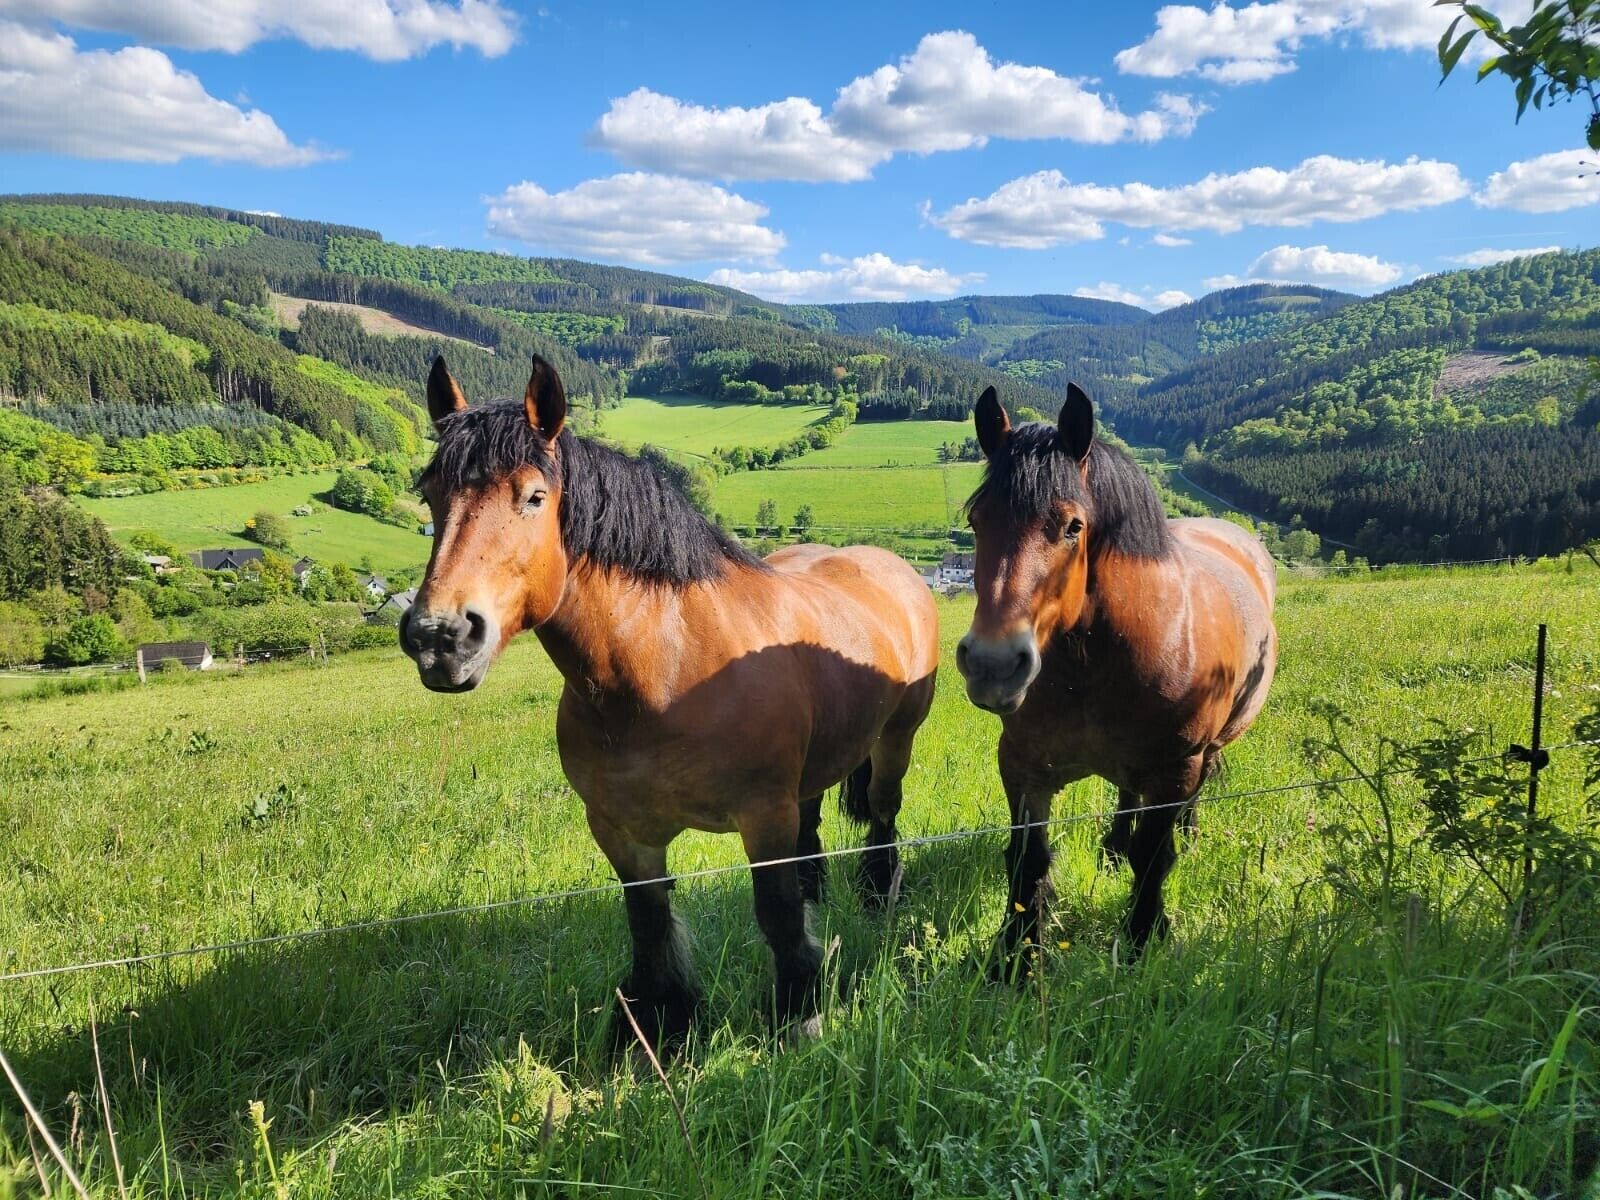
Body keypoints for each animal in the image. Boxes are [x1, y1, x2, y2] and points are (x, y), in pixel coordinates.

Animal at [400, 355, 940, 1046]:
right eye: (430, 494)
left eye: (534, 497)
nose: (439, 638)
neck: (667, 671)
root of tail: (894, 570)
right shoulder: (621, 831)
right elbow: (650, 924)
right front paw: (659, 1022)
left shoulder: (763, 817)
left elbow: (778, 915)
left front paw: (800, 1012)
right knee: (814, 816)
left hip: (896, 741)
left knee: (882, 811)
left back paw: (879, 892)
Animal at [954, 383, 1277, 972]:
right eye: (976, 521)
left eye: (1073, 526)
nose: (993, 665)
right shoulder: (1023, 767)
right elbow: (1028, 859)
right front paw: (1015, 959)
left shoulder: (1176, 768)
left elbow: (1153, 857)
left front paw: (1143, 938)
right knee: (1127, 795)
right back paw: (1112, 848)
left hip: (1206, 751)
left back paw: (1187, 836)